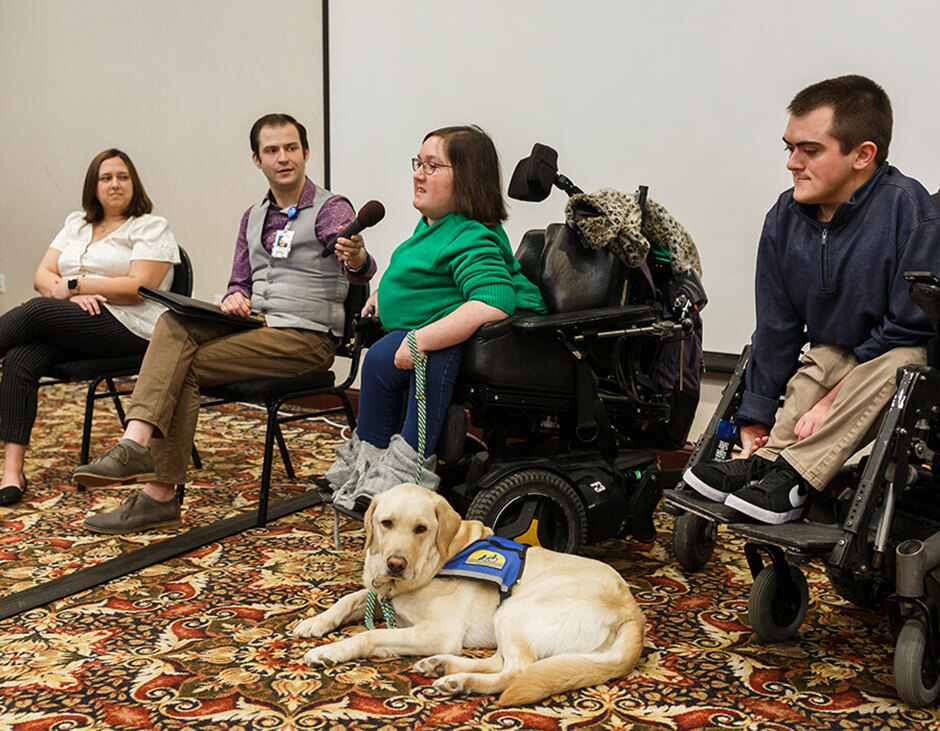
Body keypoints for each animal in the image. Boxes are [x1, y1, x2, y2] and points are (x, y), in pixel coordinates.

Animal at [294, 484, 648, 708]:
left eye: (421, 529)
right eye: (386, 523)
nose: (395, 563)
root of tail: (632, 613)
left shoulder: (438, 631)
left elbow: (370, 636)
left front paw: (331, 650)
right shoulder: (386, 598)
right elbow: (350, 599)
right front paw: (315, 623)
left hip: (515, 609)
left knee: (517, 670)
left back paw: (461, 682)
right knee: (499, 661)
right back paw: (444, 669)